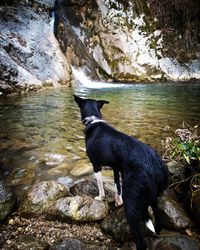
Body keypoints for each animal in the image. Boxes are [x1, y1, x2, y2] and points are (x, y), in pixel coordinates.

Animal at [74, 94, 168, 249]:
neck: (93, 121)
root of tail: (154, 164)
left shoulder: (96, 165)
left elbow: (100, 185)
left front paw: (100, 197)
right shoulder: (116, 167)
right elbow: (117, 185)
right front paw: (118, 201)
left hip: (132, 203)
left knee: (140, 239)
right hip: (154, 198)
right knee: (158, 221)